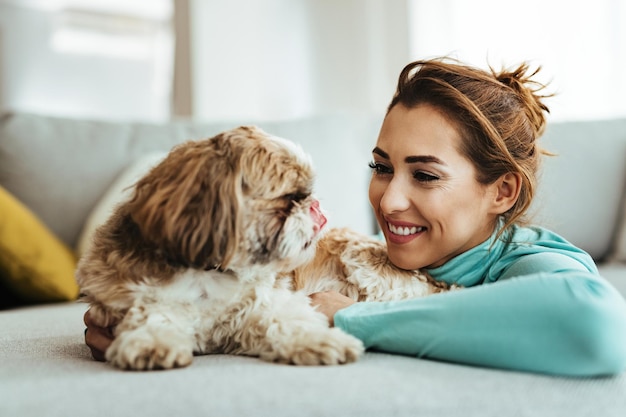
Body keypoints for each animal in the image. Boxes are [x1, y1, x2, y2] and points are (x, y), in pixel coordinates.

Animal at [75, 126, 450, 370]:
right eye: (290, 198)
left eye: (307, 195)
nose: (315, 206)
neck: (210, 273)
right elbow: (155, 314)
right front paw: (152, 342)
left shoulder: (259, 304)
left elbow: (284, 319)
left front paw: (322, 341)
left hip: (364, 264)